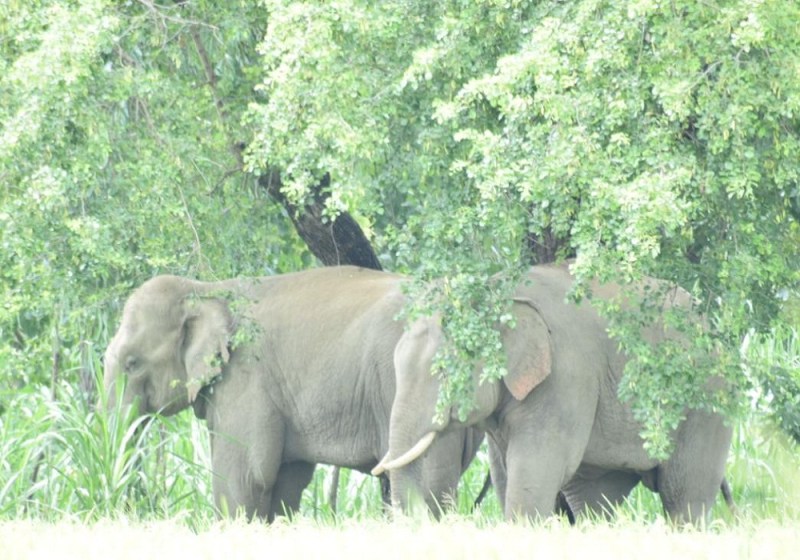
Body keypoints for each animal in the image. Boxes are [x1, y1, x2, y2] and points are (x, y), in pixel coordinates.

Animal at [103, 266, 483, 521]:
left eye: (132, 364)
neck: (209, 290)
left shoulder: (246, 379)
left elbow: (244, 477)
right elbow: (286, 480)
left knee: (421, 485)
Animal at [373, 261, 732, 524]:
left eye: (444, 371)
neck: (497, 294)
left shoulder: (564, 379)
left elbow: (535, 466)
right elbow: (503, 470)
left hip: (706, 400)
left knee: (684, 495)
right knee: (594, 497)